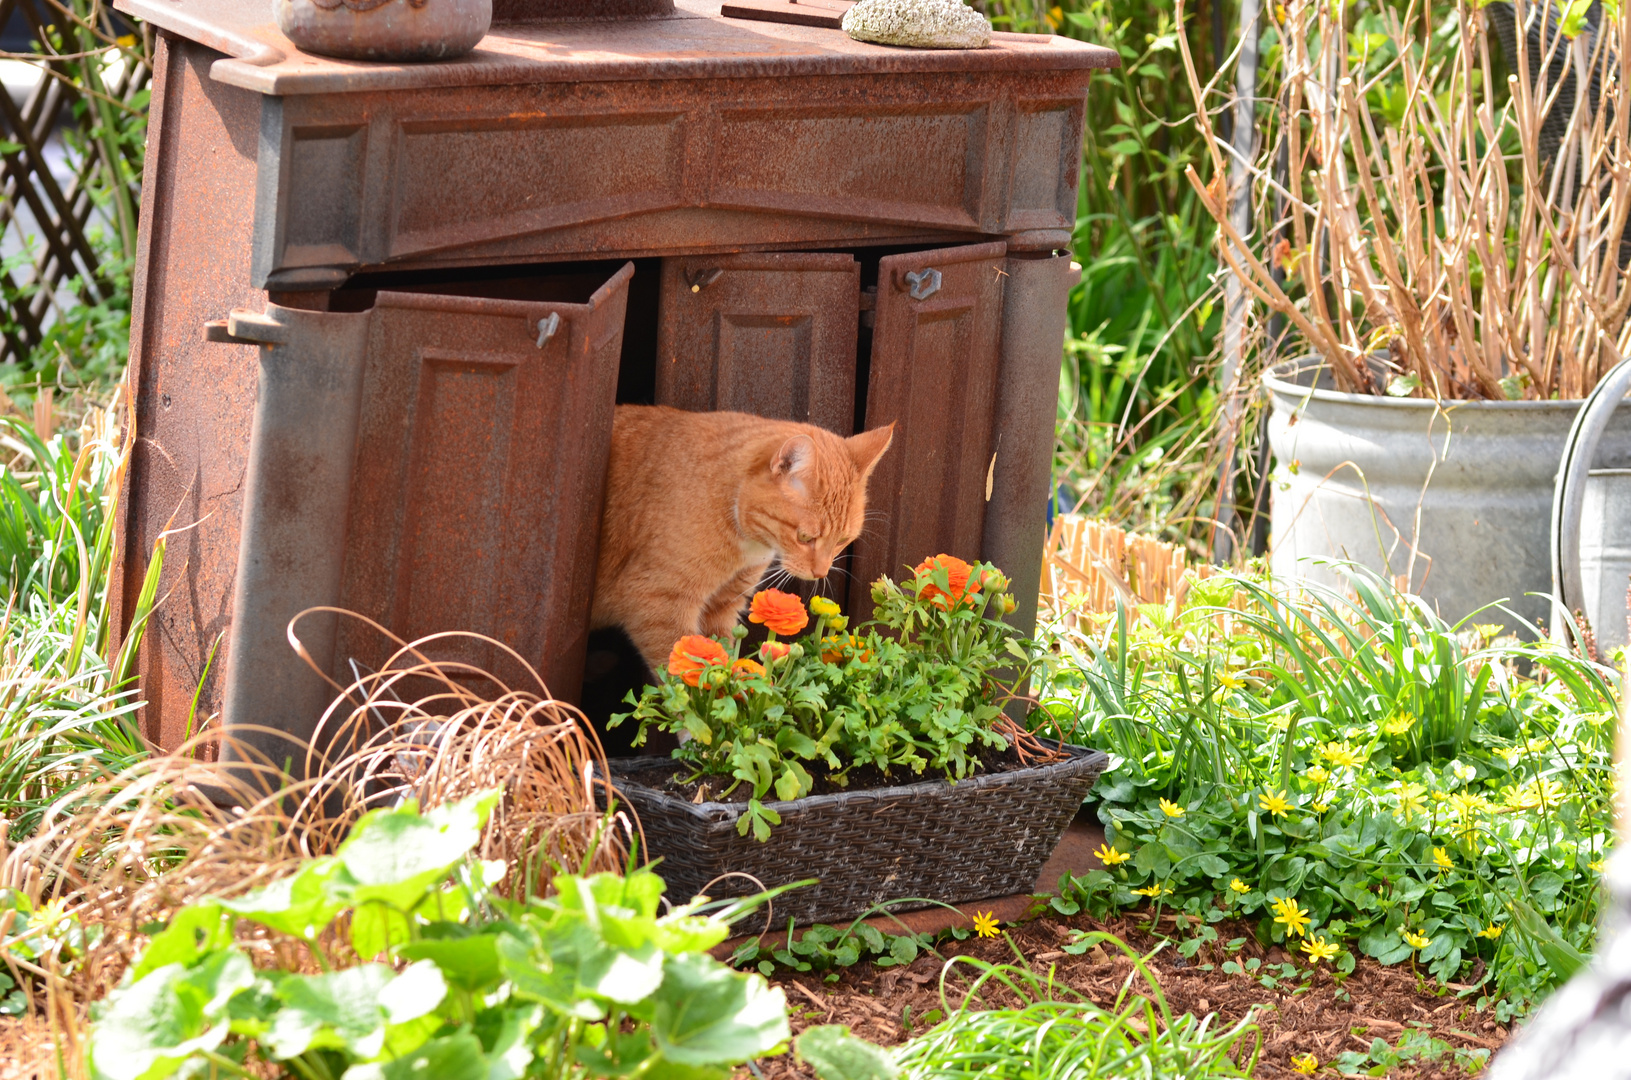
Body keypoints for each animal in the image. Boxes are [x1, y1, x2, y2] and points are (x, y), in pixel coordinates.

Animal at [590, 407, 893, 672]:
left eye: (842, 540)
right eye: (805, 537)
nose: (821, 573)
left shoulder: (723, 605)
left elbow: (724, 660)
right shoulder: (658, 602)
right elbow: (682, 678)